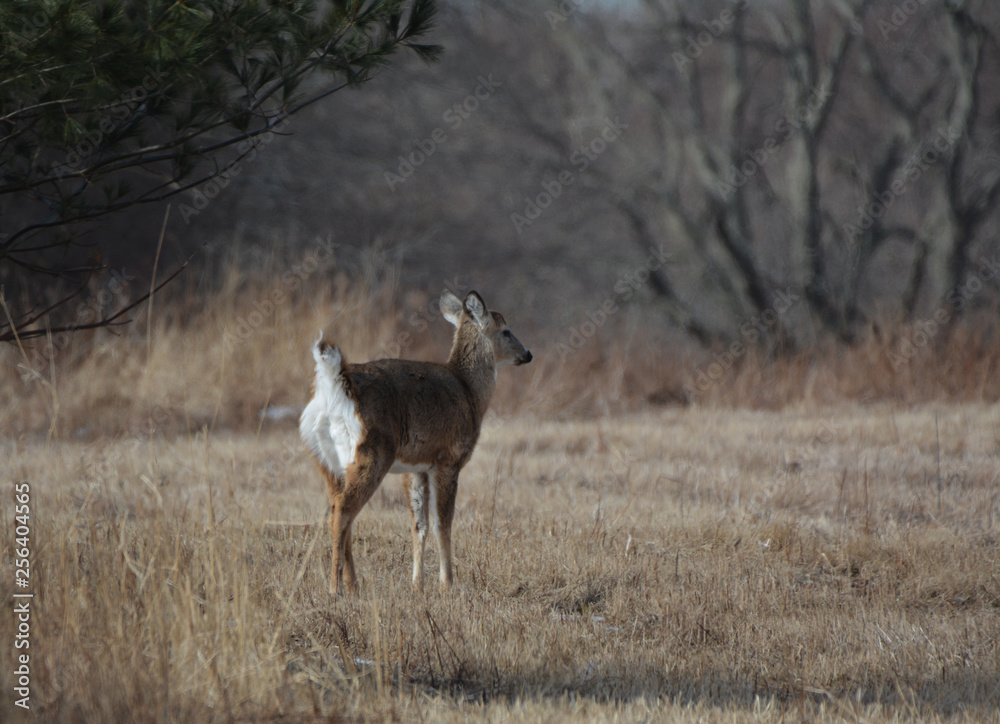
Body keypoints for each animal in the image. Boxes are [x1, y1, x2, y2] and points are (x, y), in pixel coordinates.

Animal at [299, 290, 532, 595]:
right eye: (506, 331)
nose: (527, 354)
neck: (470, 391)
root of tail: (335, 386)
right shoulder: (448, 459)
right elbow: (442, 523)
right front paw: (447, 583)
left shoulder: (416, 466)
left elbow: (419, 524)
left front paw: (417, 584)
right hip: (372, 453)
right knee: (342, 512)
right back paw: (335, 588)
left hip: (325, 460)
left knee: (339, 509)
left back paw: (354, 585)